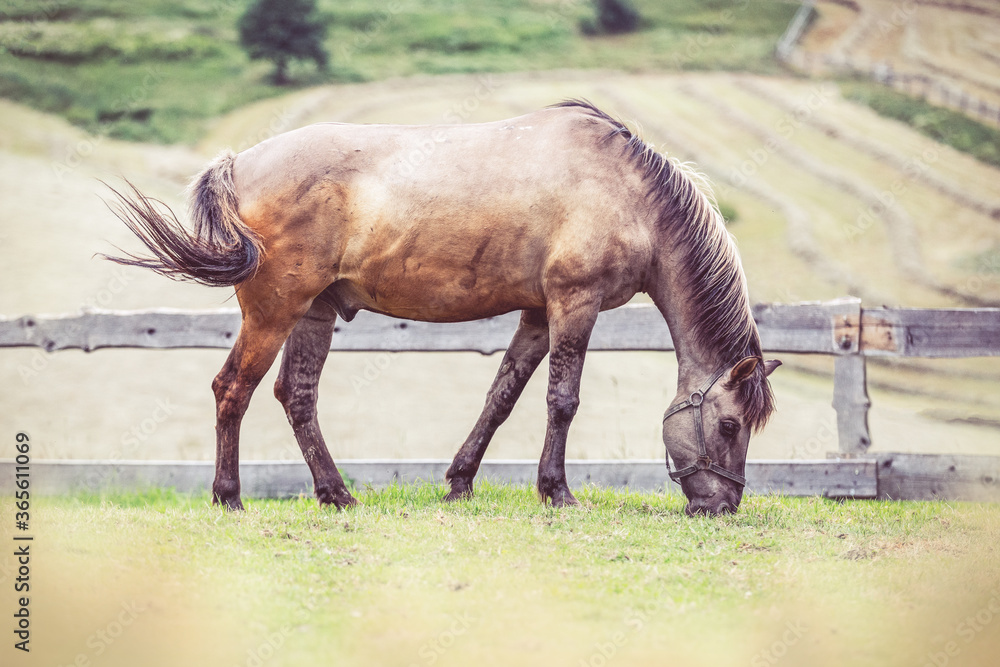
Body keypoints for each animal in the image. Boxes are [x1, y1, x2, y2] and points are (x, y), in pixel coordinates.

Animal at [104, 100, 780, 516]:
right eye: (728, 426)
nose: (722, 506)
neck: (628, 193)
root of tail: (239, 163)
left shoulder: (538, 314)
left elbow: (502, 396)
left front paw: (459, 482)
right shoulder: (574, 305)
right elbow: (561, 401)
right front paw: (557, 492)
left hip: (314, 313)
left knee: (296, 397)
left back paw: (337, 495)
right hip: (273, 312)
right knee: (232, 390)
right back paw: (230, 497)